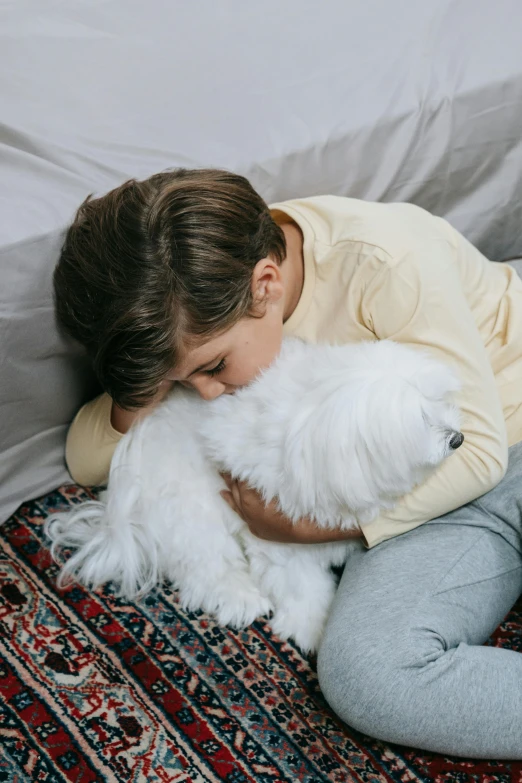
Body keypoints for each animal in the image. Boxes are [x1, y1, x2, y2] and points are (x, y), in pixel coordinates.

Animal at [43, 340, 460, 652]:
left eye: (441, 401)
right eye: (422, 421)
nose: (458, 438)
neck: (311, 425)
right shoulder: (279, 537)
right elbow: (304, 590)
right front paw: (312, 630)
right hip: (192, 511)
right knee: (206, 567)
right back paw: (239, 599)